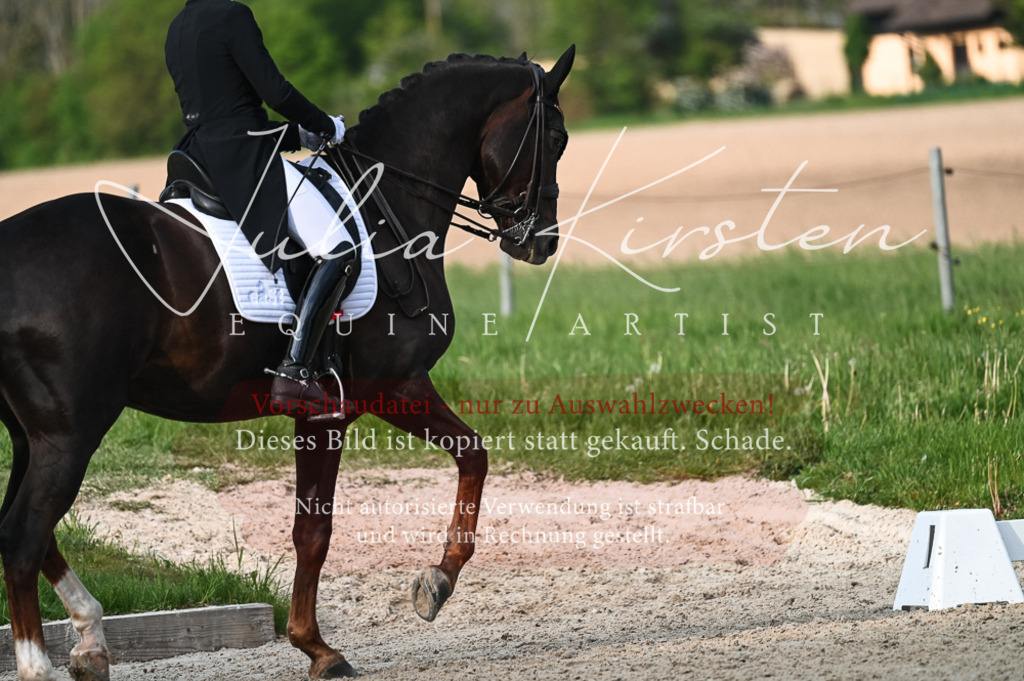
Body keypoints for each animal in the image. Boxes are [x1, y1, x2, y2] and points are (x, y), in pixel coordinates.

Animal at [0, 47, 575, 681]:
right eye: (556, 137)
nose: (541, 243)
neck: (386, 210)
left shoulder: (366, 399)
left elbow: (469, 457)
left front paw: (429, 585)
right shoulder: (368, 397)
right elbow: (318, 530)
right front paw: (325, 645)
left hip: (34, 437)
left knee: (22, 531)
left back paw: (91, 640)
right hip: (70, 434)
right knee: (23, 536)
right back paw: (41, 663)